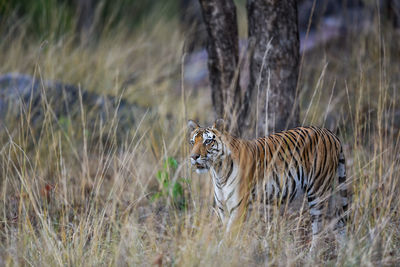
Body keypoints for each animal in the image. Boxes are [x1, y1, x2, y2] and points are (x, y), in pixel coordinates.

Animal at [189, 119, 348, 251]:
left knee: (319, 229)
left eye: (207, 141)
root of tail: (330, 133)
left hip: (318, 191)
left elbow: (229, 235)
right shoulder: (223, 208)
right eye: (192, 142)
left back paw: (312, 256)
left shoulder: (238, 207)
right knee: (338, 220)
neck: (218, 171)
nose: (193, 157)